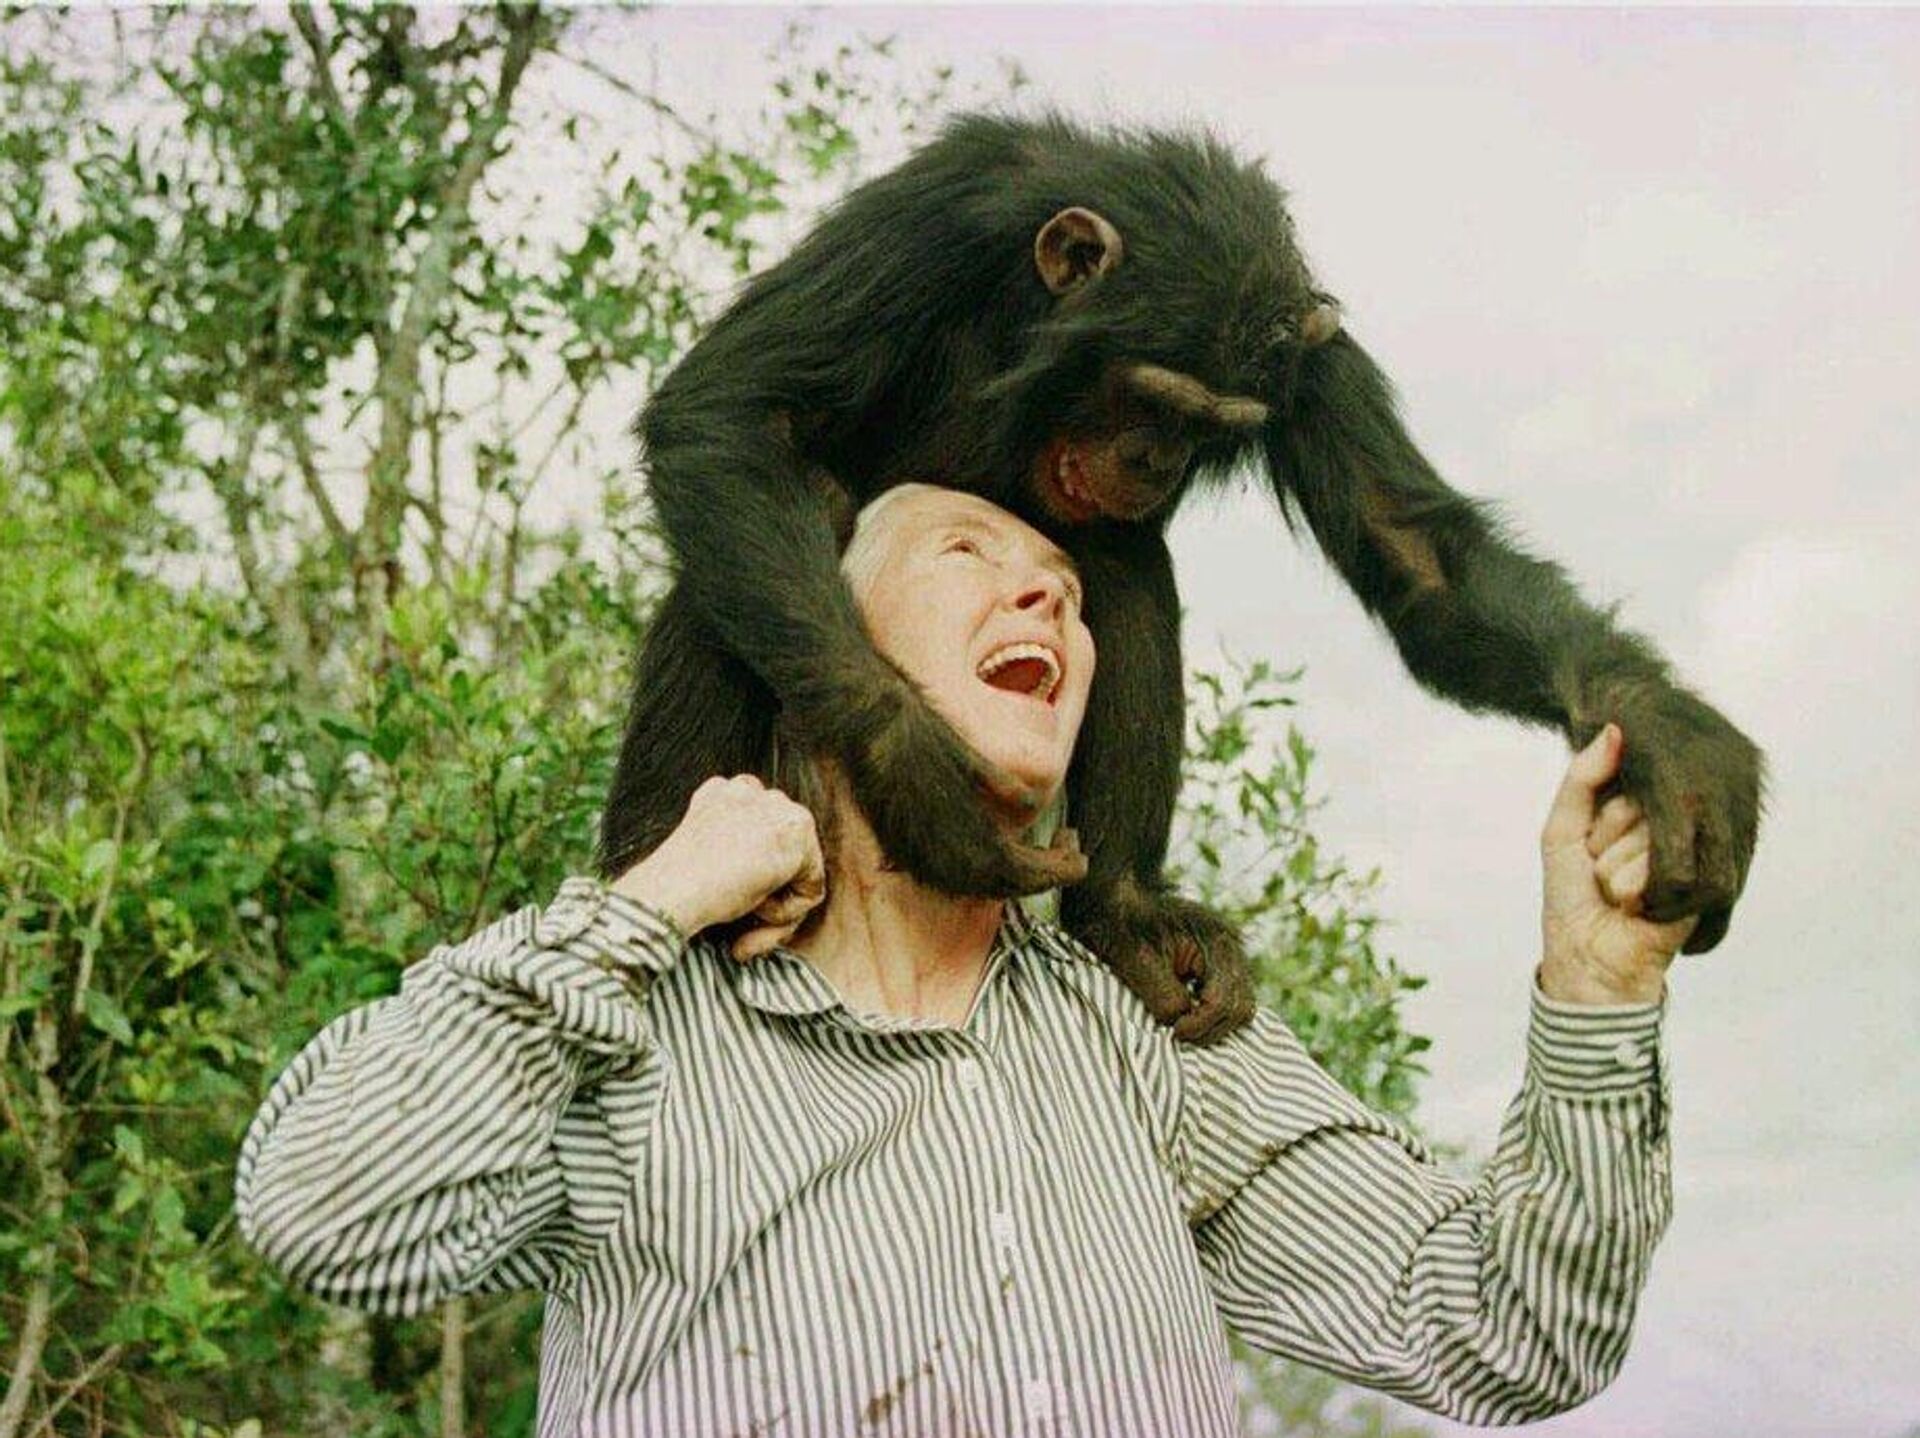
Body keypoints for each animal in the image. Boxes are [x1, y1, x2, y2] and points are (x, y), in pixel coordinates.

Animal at [598, 111, 1766, 1044]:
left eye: (1212, 424)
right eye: (1151, 396)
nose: (1153, 459)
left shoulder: (1311, 361)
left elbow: (1415, 551)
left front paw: (1667, 737)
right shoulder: (928, 219)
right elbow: (734, 410)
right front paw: (920, 782)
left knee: (1126, 572)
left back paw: (1125, 909)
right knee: (742, 571)